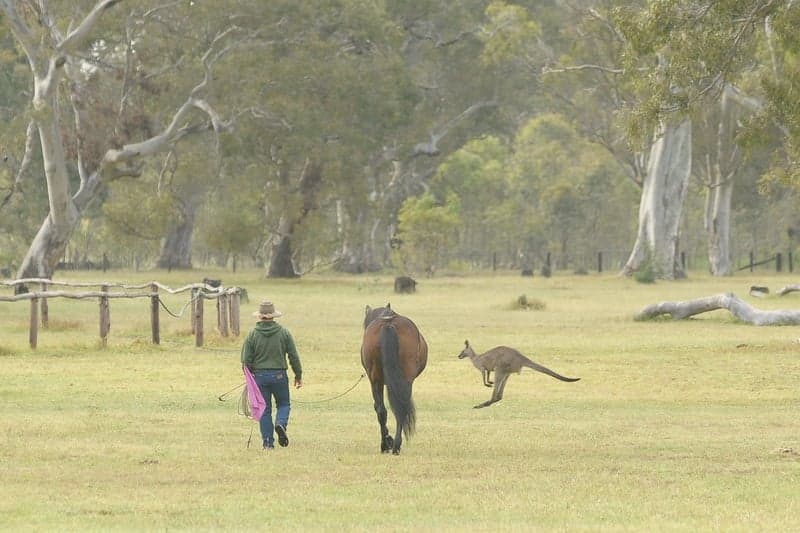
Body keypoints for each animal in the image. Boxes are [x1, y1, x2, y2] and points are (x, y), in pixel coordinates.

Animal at [361, 303, 428, 454]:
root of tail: (389, 324)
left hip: (376, 380)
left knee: (382, 410)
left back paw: (387, 445)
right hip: (404, 381)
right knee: (398, 408)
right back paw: (395, 445)